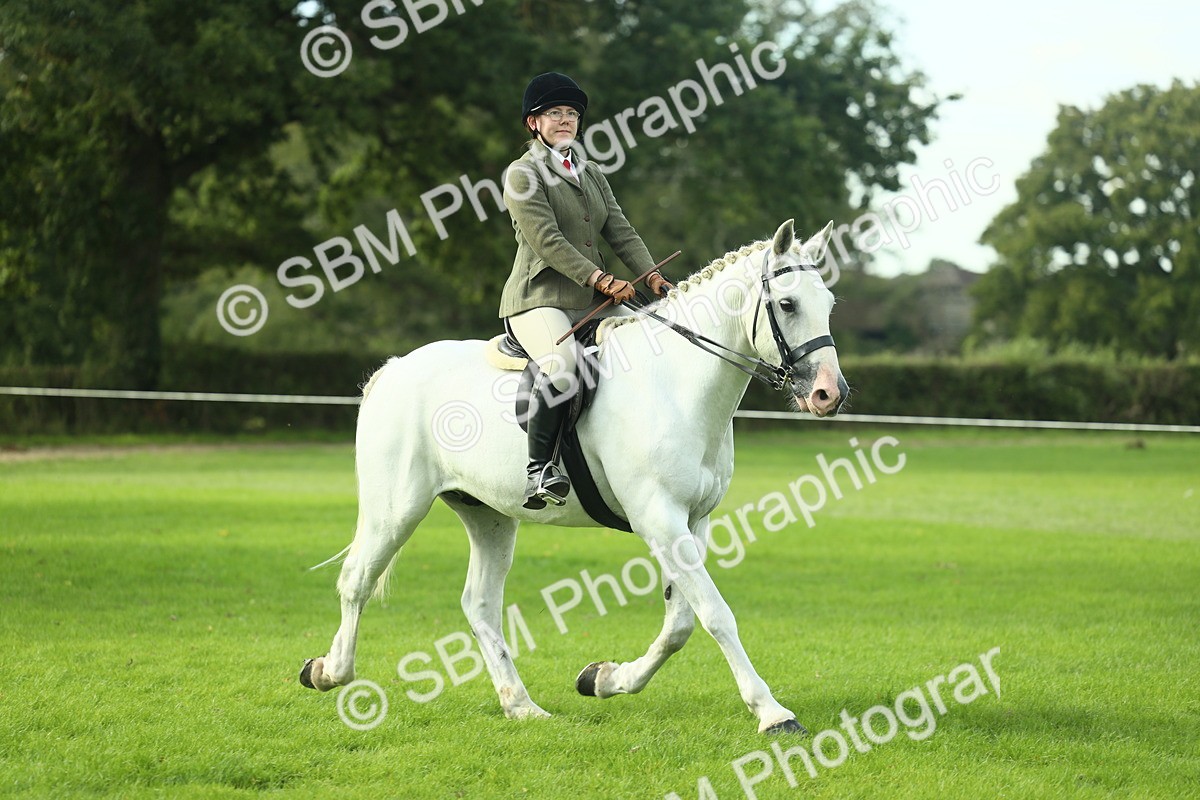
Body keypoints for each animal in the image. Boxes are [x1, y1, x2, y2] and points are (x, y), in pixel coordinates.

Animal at [300, 219, 848, 734]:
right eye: (788, 303)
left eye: (828, 304)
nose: (829, 394)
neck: (677, 383)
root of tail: (393, 369)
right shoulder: (659, 517)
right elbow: (716, 615)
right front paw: (773, 713)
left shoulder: (692, 520)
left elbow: (679, 625)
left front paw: (605, 678)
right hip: (396, 508)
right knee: (356, 580)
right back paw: (328, 672)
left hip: (489, 516)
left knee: (480, 604)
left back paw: (521, 706)